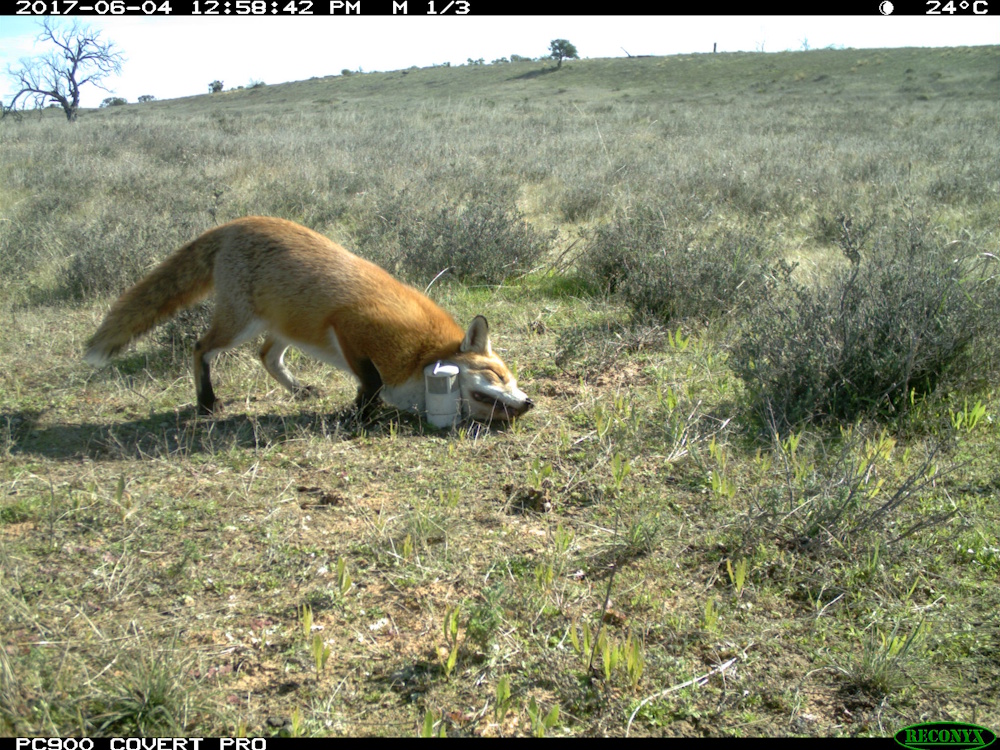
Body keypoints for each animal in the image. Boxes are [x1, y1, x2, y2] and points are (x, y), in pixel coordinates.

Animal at [84, 216, 534, 423]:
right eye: (497, 377)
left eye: (512, 381)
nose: (529, 402)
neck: (424, 355)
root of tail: (235, 223)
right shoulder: (353, 326)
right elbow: (370, 382)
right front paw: (359, 416)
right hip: (240, 325)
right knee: (200, 348)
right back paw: (207, 401)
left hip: (284, 328)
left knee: (266, 356)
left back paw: (298, 390)